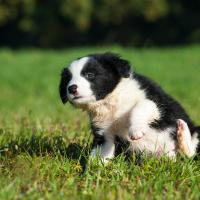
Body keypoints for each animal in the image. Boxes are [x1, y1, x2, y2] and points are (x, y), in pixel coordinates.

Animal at [59, 52, 200, 162]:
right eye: (68, 79)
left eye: (89, 75)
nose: (71, 88)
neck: (111, 102)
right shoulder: (104, 134)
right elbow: (99, 154)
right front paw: (91, 173)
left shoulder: (156, 103)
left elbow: (140, 106)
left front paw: (136, 130)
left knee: (190, 154)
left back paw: (182, 131)